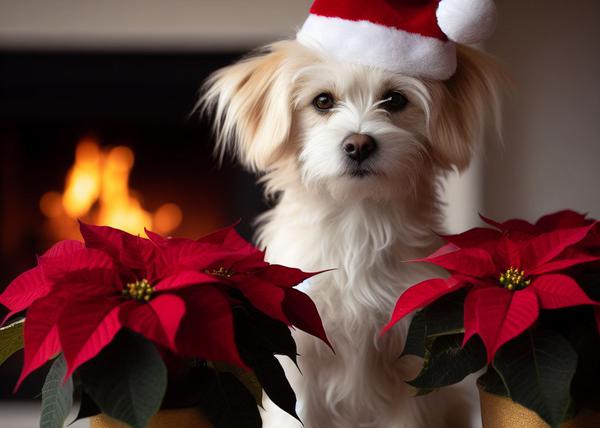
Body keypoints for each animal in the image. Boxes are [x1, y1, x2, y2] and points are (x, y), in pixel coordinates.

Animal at [200, 38, 502, 426]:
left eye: (395, 100)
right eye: (323, 101)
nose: (359, 144)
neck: (356, 221)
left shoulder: (408, 357)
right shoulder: (297, 357)